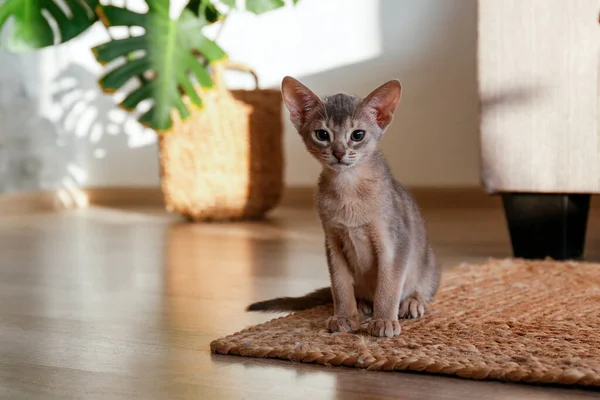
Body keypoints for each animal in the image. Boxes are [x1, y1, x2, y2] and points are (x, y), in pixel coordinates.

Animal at [245, 76, 440, 338]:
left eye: (357, 135)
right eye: (322, 134)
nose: (338, 153)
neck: (348, 189)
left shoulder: (395, 244)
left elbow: (388, 287)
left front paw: (384, 321)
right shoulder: (333, 242)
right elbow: (340, 286)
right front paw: (345, 316)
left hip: (428, 261)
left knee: (422, 288)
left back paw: (410, 303)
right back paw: (363, 304)